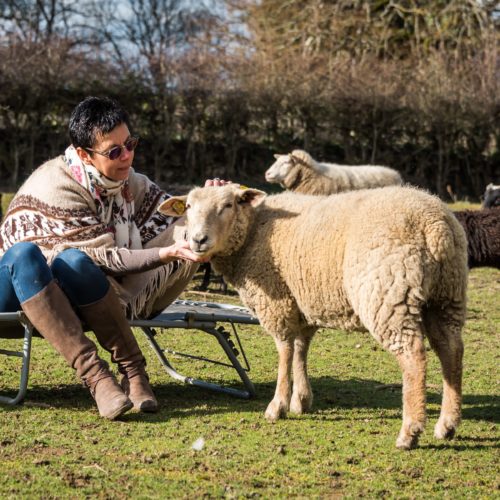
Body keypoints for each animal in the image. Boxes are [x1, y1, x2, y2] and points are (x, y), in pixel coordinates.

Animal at [160, 184, 468, 450]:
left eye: (228, 205)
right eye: (189, 206)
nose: (198, 240)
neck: (253, 231)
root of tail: (434, 224)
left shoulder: (277, 301)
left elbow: (284, 350)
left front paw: (278, 405)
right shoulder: (302, 302)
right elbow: (300, 349)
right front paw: (301, 401)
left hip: (388, 295)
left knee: (414, 356)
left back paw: (410, 431)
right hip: (446, 297)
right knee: (451, 351)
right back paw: (447, 424)